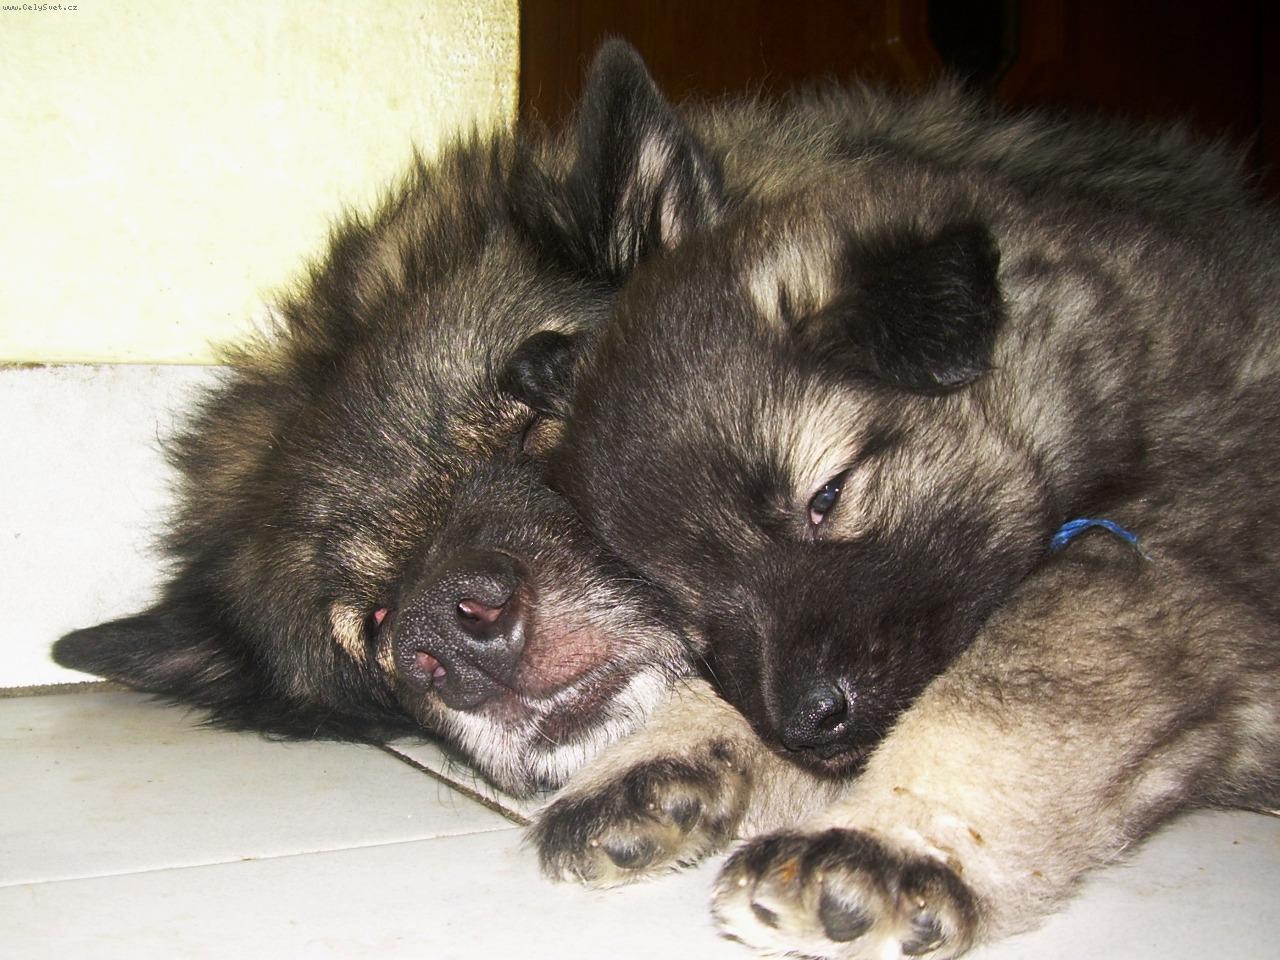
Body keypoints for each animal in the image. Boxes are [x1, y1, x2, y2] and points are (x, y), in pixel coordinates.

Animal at [526, 55, 1280, 960]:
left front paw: (880, 845)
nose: (808, 720)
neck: (1120, 380)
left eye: (828, 496)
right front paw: (663, 753)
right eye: (684, 602)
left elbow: (995, 707)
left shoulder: (1155, 572)